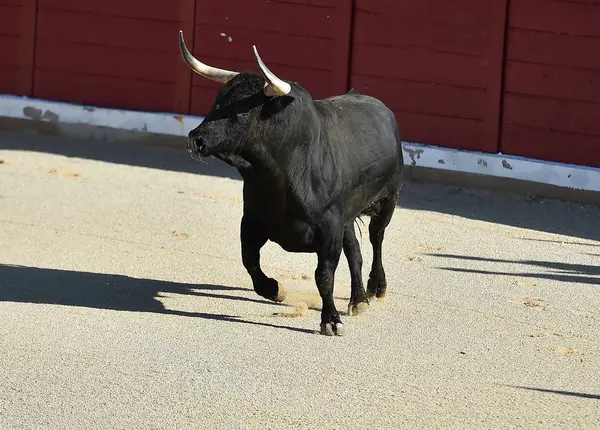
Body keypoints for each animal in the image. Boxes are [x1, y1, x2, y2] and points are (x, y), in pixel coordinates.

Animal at [178, 31, 404, 336]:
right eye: (217, 101)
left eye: (242, 111)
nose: (195, 138)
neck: (279, 175)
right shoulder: (252, 220)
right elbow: (250, 260)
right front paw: (275, 289)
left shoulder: (328, 228)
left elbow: (324, 276)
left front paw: (331, 320)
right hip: (346, 216)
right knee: (355, 251)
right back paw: (358, 300)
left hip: (387, 200)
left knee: (376, 238)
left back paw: (375, 287)